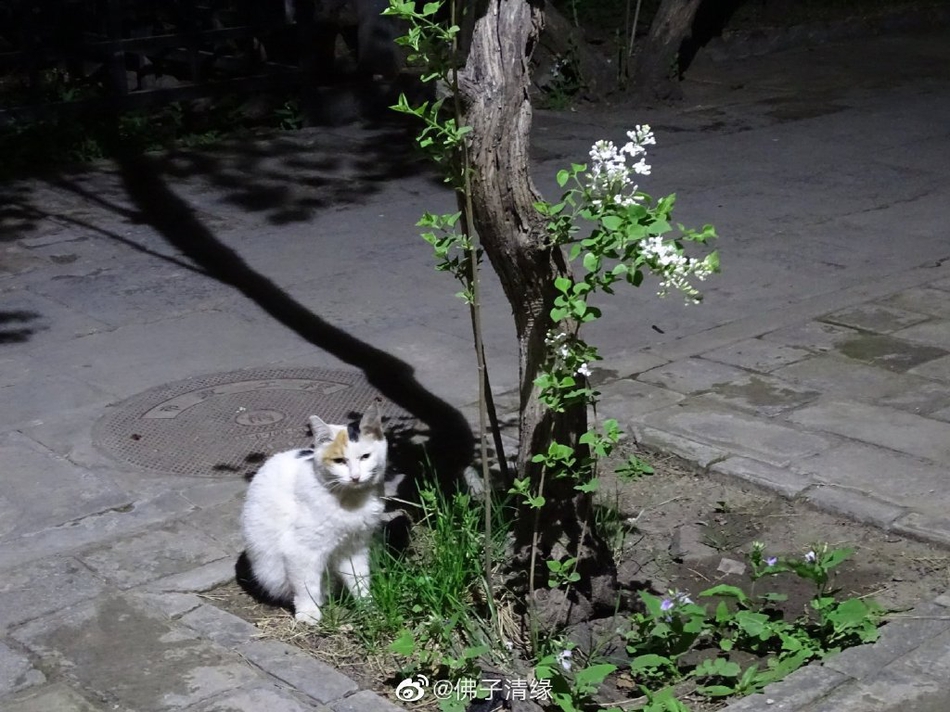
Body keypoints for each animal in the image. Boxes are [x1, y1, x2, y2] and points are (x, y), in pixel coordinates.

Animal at [242, 404, 390, 624]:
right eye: (339, 461)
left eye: (365, 457)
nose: (355, 477)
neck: (351, 501)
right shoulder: (302, 550)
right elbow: (306, 585)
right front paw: (308, 612)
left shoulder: (354, 547)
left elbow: (359, 579)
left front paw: (367, 605)